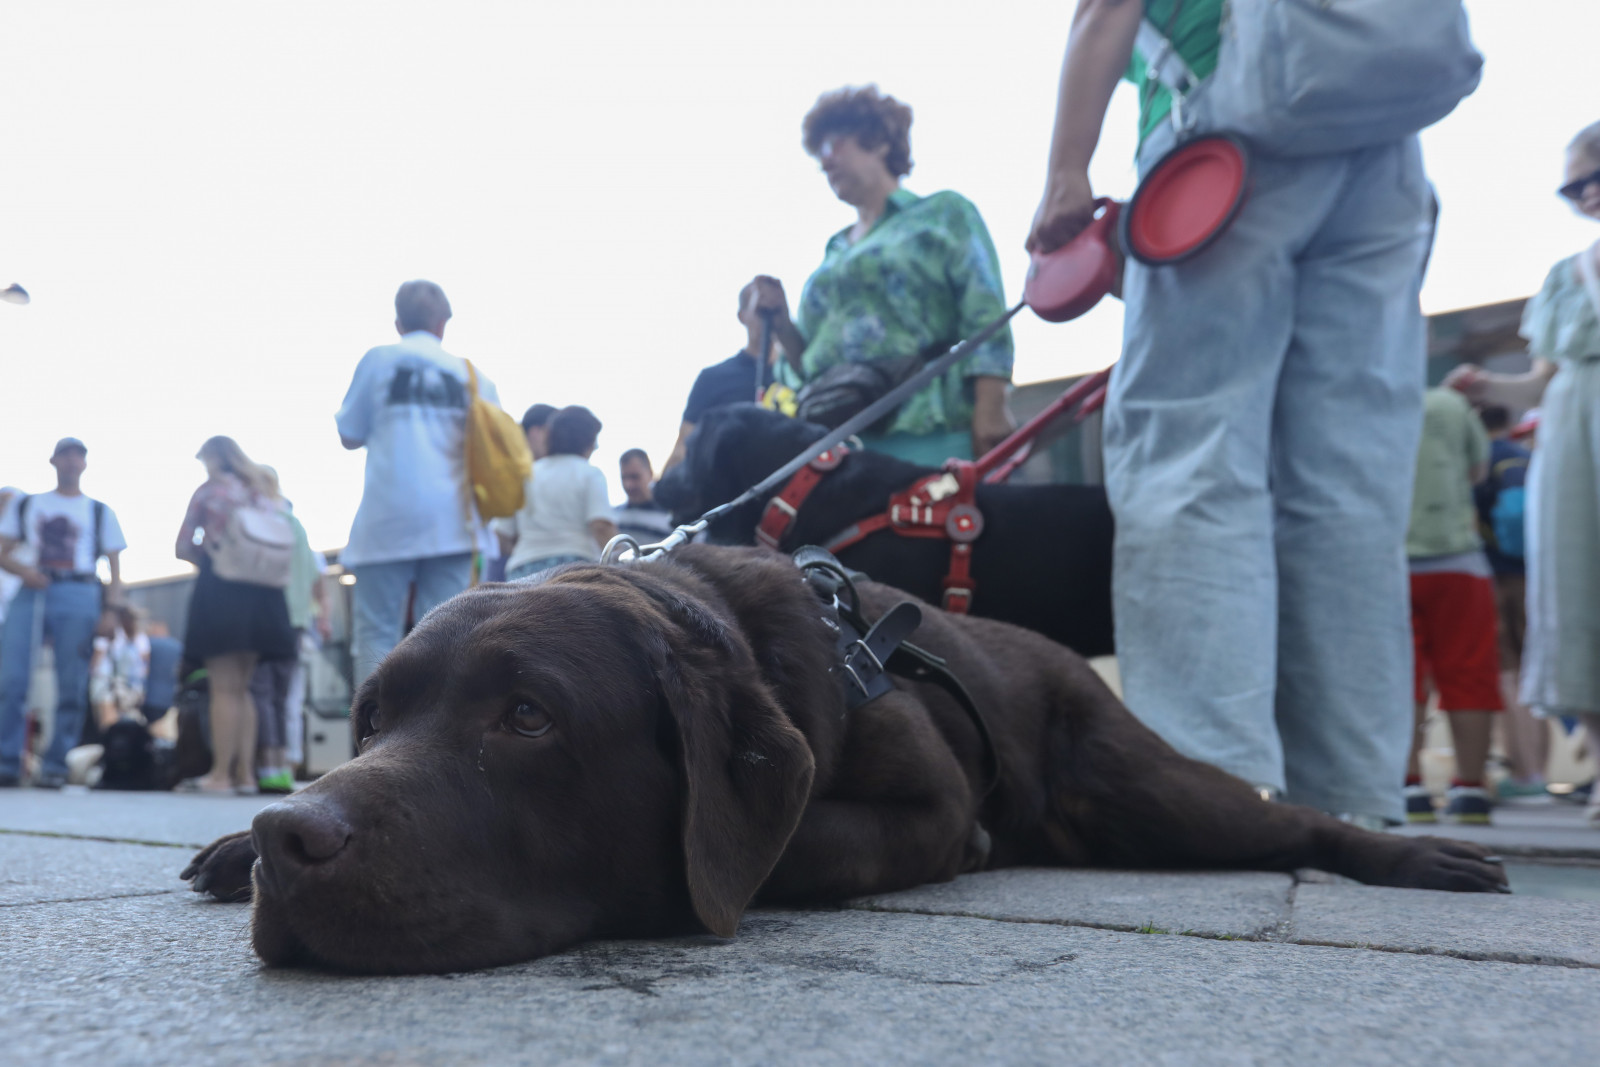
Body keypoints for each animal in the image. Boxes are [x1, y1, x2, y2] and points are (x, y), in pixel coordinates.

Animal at [181, 550, 1504, 979]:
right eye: (370, 718)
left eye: (526, 716)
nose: (295, 834)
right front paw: (234, 841)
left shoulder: (926, 805)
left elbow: (780, 841)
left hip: (1155, 790)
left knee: (1284, 821)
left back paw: (1427, 855)